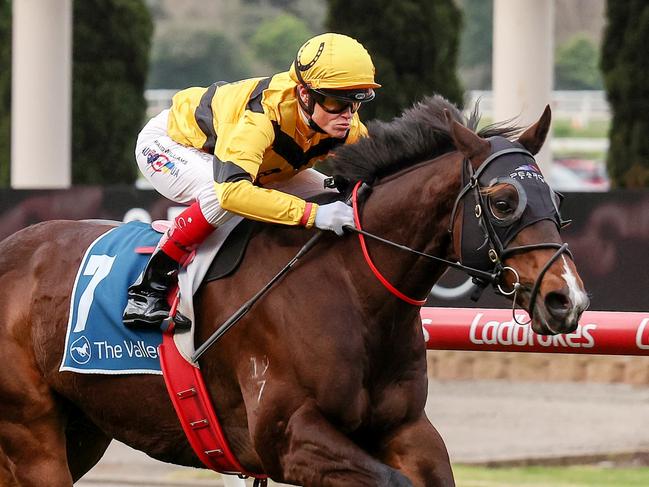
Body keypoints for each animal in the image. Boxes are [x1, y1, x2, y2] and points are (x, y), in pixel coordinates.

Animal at [0, 96, 588, 487]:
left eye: (556, 198)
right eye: (504, 200)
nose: (568, 301)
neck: (353, 288)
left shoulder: (406, 428)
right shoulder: (287, 437)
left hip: (82, 429)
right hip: (33, 435)